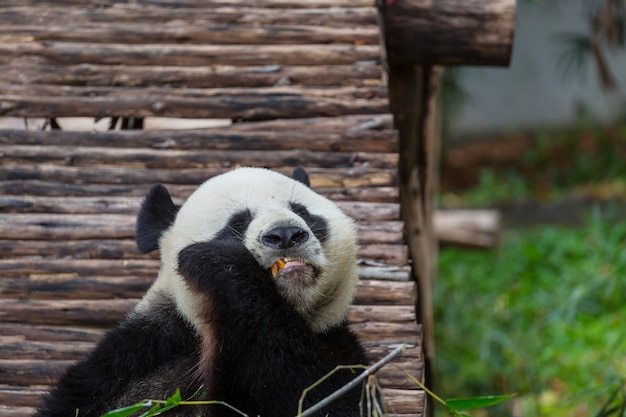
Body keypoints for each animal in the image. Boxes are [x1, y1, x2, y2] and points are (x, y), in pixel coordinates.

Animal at [34, 167, 366, 416]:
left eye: (303, 212)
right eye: (237, 222)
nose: (285, 234)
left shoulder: (339, 348)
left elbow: (316, 397)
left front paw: (222, 263)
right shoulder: (133, 358)